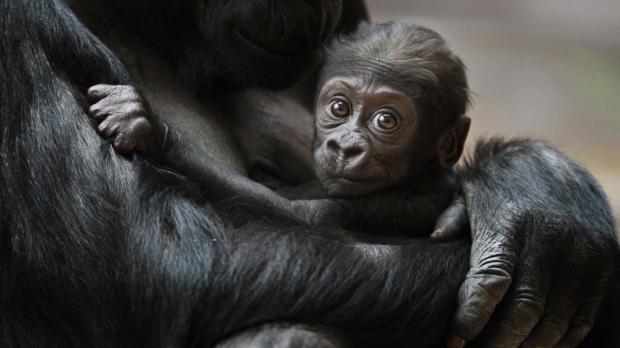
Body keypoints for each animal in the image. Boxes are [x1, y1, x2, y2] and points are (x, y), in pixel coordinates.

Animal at [88, 22, 470, 237]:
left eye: (385, 121)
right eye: (339, 108)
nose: (345, 147)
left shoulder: (405, 202)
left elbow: (298, 217)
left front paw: (153, 130)